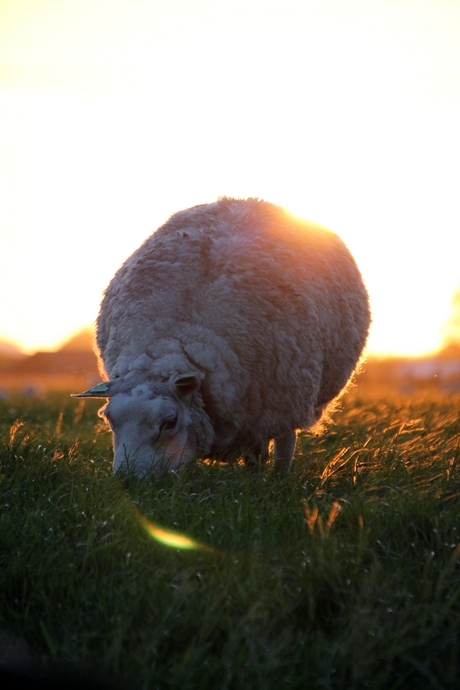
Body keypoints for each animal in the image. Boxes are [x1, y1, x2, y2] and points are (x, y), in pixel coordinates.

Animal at [73, 195, 372, 472]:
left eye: (169, 422)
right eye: (109, 419)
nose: (129, 479)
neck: (170, 344)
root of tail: (247, 200)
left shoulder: (278, 405)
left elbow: (276, 448)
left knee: (282, 442)